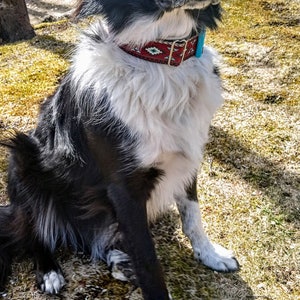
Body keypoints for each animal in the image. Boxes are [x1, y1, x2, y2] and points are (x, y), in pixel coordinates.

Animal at [0, 1, 239, 298]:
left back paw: (117, 260)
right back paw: (49, 271)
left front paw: (209, 254)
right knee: (32, 231)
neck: (159, 60)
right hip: (22, 158)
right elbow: (148, 260)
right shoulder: (124, 188)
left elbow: (192, 214)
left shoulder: (188, 155)